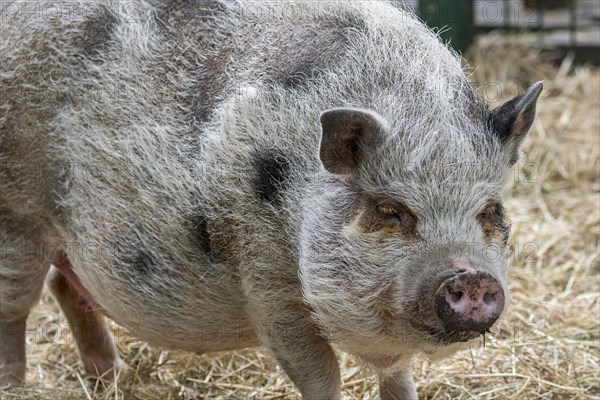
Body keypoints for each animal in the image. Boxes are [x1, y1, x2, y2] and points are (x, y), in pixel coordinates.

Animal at [0, 1, 540, 398]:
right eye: (391, 211)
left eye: (491, 211)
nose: (470, 277)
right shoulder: (266, 281)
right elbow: (320, 372)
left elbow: (397, 377)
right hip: (16, 215)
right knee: (15, 306)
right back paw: (16, 386)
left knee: (65, 284)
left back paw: (109, 377)